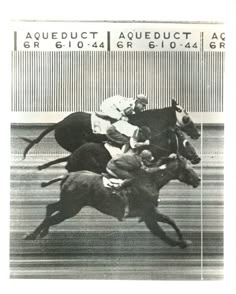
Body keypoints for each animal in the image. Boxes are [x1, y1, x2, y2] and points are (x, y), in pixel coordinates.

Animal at [24, 155, 200, 249]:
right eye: (187, 168)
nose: (198, 179)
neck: (150, 179)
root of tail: (68, 175)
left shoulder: (150, 212)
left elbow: (170, 221)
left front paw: (182, 240)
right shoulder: (148, 213)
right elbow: (161, 230)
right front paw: (178, 242)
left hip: (68, 204)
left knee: (50, 208)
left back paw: (39, 233)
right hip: (71, 208)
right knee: (52, 217)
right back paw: (32, 235)